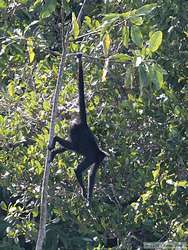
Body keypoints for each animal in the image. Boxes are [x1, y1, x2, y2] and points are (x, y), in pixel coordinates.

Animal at [48, 53, 107, 204]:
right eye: (101, 160)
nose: (103, 162)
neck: (98, 152)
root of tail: (84, 124)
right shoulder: (93, 157)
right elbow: (78, 170)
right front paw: (85, 193)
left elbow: (91, 176)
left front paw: (89, 196)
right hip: (75, 129)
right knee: (73, 146)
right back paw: (55, 140)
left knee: (71, 147)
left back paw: (54, 152)